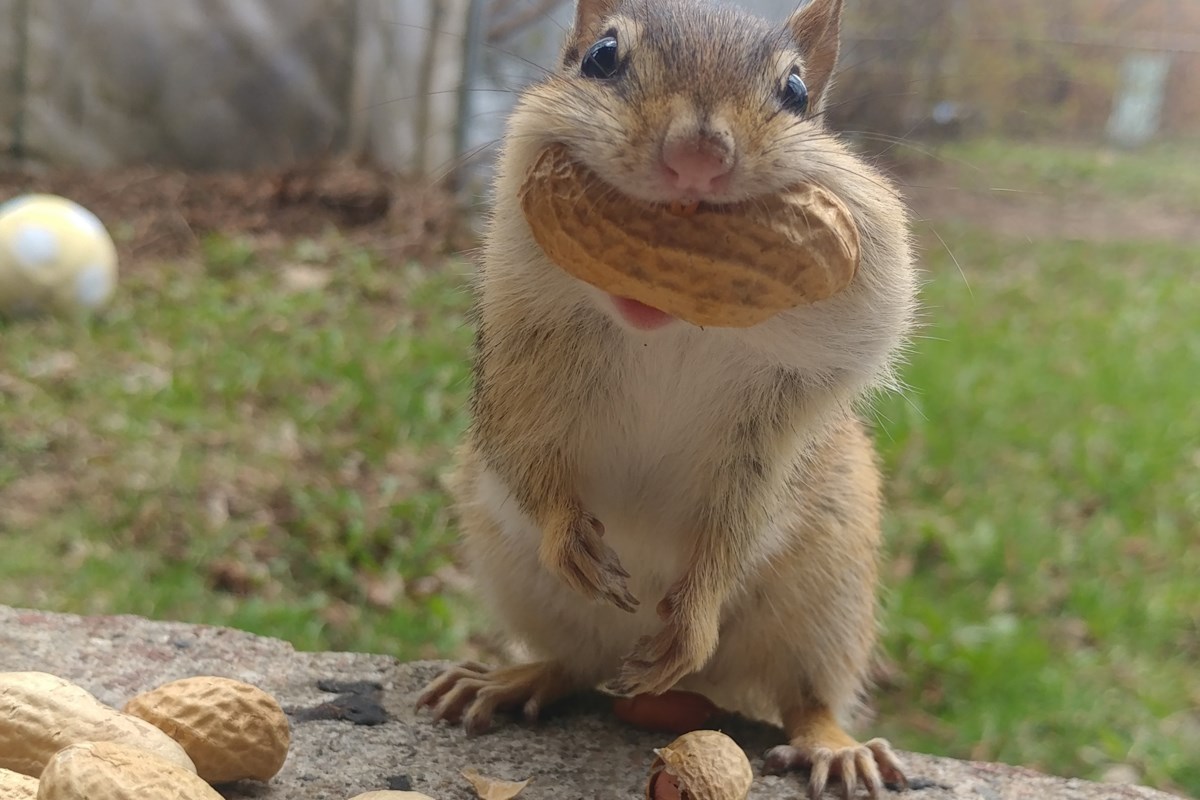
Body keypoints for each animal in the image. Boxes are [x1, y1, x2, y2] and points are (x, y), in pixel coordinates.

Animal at [416, 0, 919, 797]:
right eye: (601, 56)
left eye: (796, 93)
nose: (699, 154)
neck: (675, 327)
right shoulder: (517, 367)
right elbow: (526, 456)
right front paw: (567, 534)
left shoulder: (782, 426)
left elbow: (739, 524)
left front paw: (698, 612)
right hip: (517, 574)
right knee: (573, 666)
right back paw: (509, 679)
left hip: (826, 600)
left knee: (805, 697)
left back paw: (833, 745)